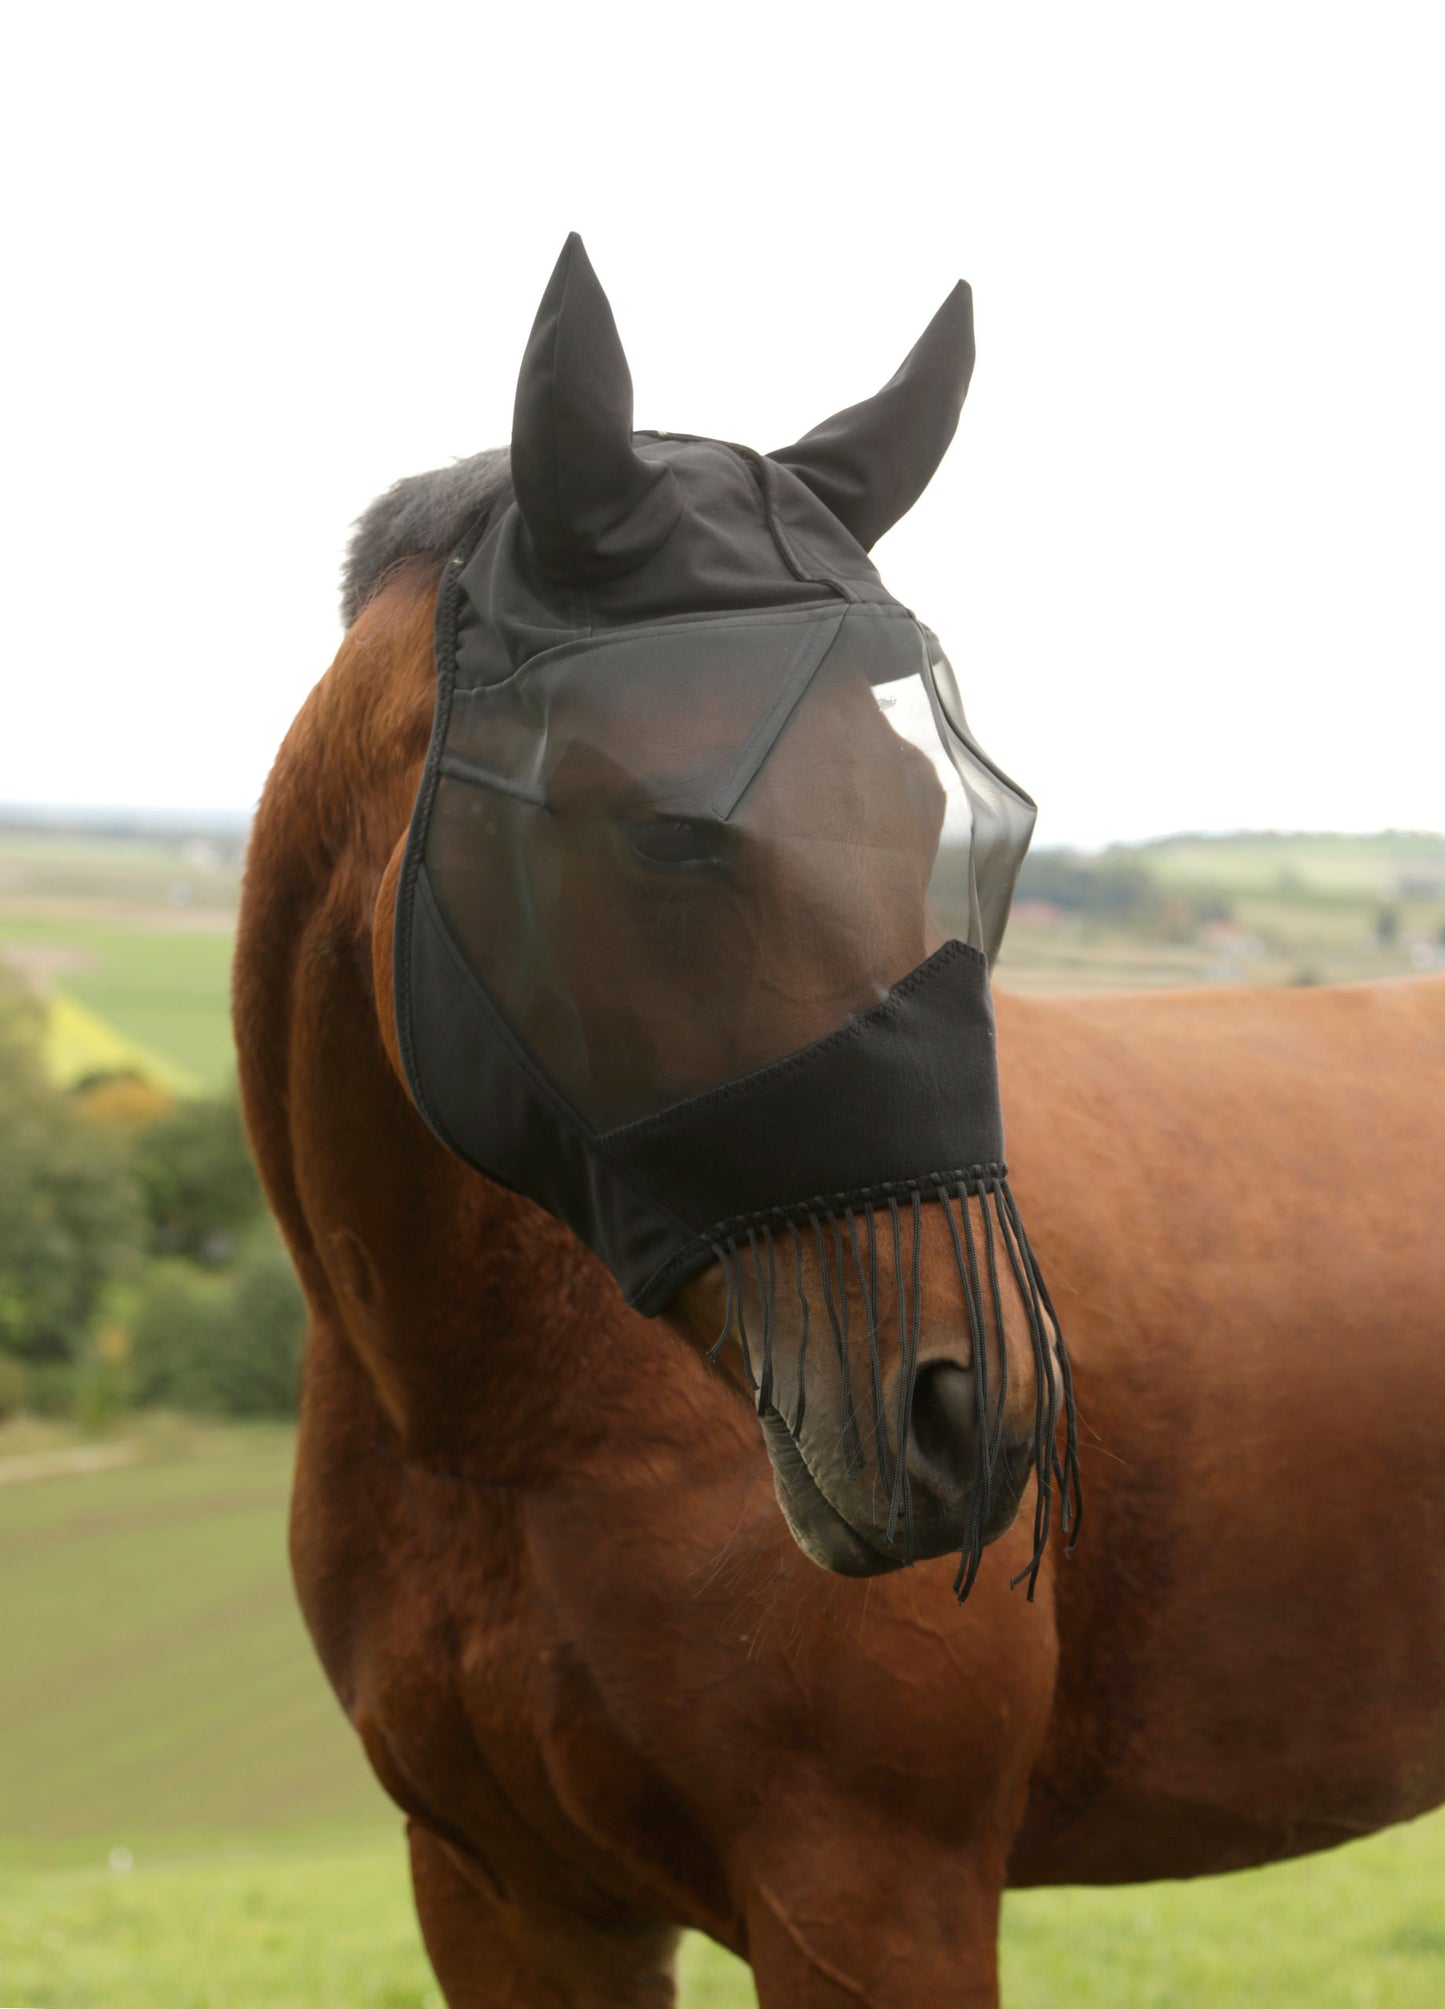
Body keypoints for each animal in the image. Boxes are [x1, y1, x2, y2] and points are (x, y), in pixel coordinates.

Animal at [234, 255, 1445, 2009]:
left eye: (949, 815)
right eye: (674, 832)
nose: (977, 1421)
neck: (505, 1431)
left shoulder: (873, 1897)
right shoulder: (506, 1901)